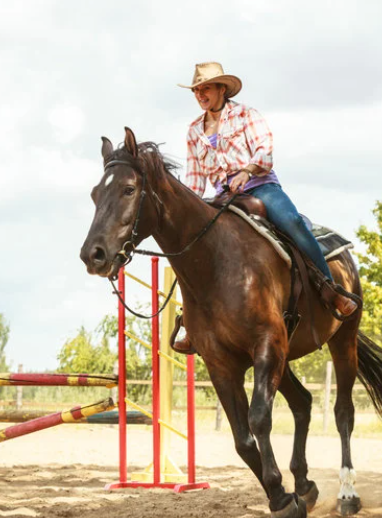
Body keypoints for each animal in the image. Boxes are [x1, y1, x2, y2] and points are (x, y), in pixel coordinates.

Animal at [79, 127, 382, 518]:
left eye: (129, 189)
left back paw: (346, 493)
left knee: (343, 411)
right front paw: (284, 495)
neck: (214, 262)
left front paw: (281, 495)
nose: (93, 255)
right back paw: (305, 484)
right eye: (95, 193)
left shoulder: (267, 345)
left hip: (341, 339)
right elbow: (242, 438)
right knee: (302, 404)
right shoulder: (221, 363)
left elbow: (258, 419)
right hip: (286, 356)